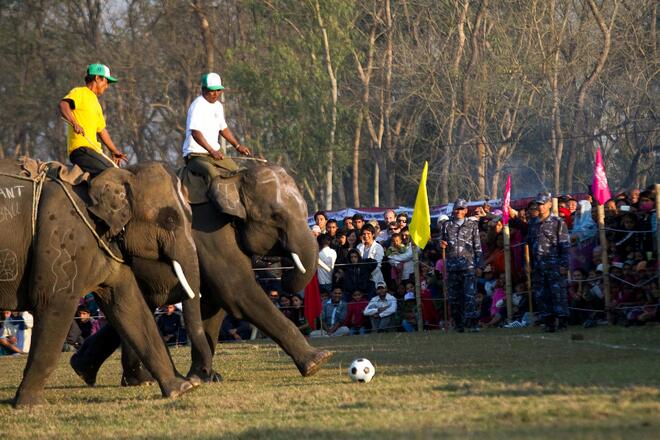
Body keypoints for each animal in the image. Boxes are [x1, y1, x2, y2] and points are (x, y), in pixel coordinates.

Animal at [0, 160, 204, 408]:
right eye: (170, 220)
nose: (197, 380)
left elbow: (129, 305)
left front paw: (180, 389)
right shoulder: (64, 244)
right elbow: (55, 303)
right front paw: (30, 404)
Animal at [69, 162, 332, 384]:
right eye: (276, 217)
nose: (283, 278)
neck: (233, 178)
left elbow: (214, 304)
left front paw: (206, 377)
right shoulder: (210, 233)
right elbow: (236, 291)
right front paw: (318, 361)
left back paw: (88, 370)